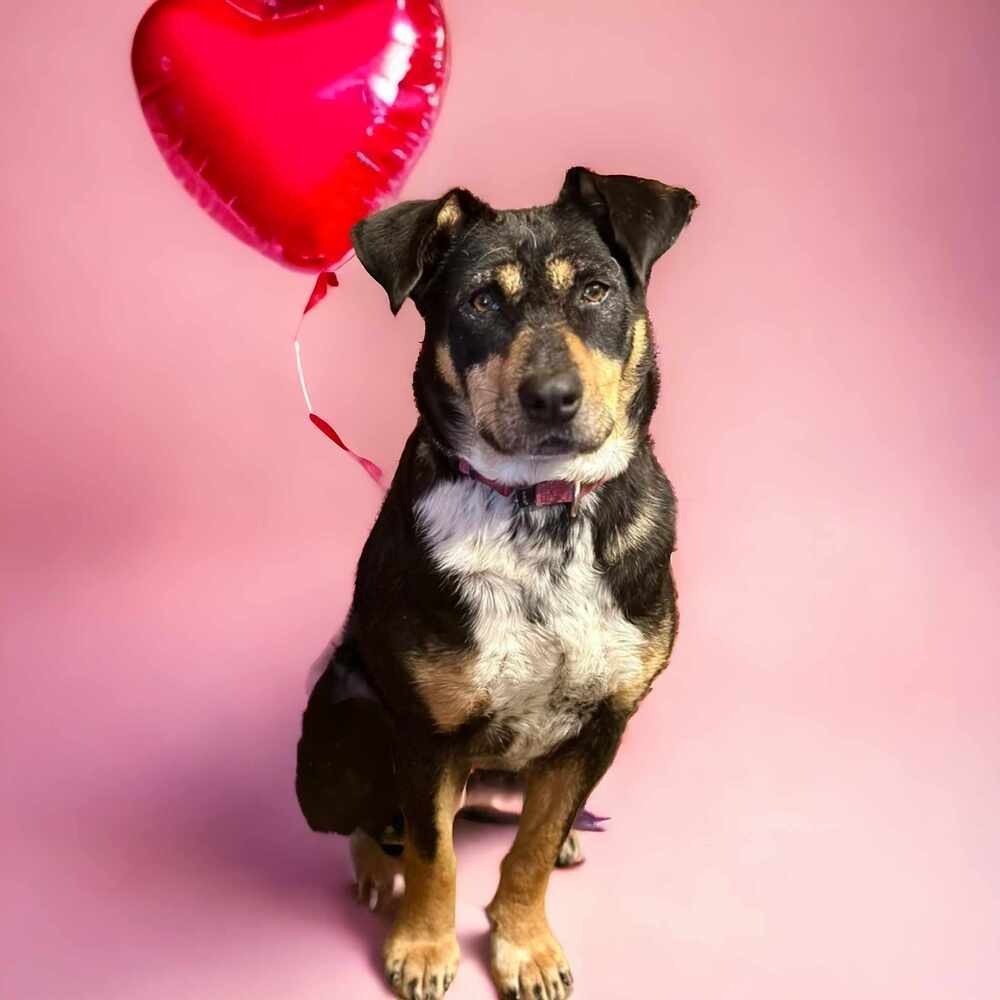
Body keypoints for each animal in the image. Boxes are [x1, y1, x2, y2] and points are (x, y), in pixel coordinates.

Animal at [298, 168, 696, 996]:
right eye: (481, 301)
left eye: (596, 290)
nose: (551, 396)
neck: (537, 510)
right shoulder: (426, 734)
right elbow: (434, 854)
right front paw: (423, 947)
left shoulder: (604, 724)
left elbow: (533, 849)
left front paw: (524, 945)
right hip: (342, 723)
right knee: (374, 824)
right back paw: (373, 871)